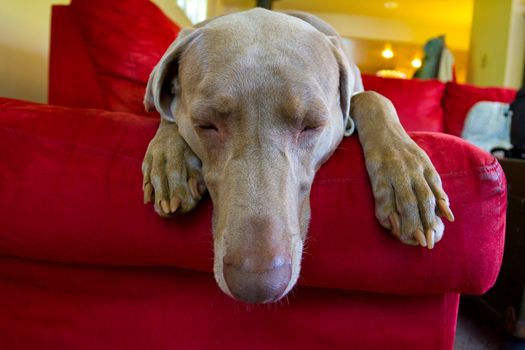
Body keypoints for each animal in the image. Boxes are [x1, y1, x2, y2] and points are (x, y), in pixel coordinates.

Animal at [141, 8, 452, 304]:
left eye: (311, 125)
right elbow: (165, 109)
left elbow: (373, 98)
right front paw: (170, 161)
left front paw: (408, 183)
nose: (257, 286)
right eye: (206, 124)